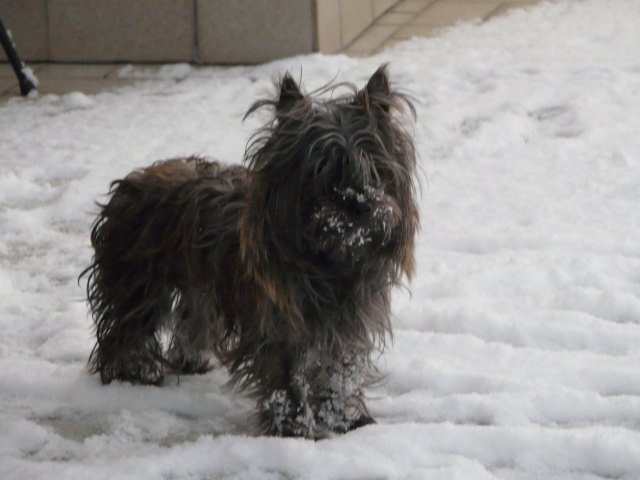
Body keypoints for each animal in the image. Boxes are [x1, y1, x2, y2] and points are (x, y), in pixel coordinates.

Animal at [81, 64, 420, 438]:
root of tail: (134, 180)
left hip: (197, 285)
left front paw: (346, 418)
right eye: (321, 171)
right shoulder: (277, 325)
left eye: (377, 170)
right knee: (127, 326)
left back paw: (190, 359)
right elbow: (285, 379)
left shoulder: (348, 326)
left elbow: (339, 372)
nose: (357, 204)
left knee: (192, 314)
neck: (329, 262)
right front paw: (294, 429)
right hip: (138, 280)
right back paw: (133, 370)